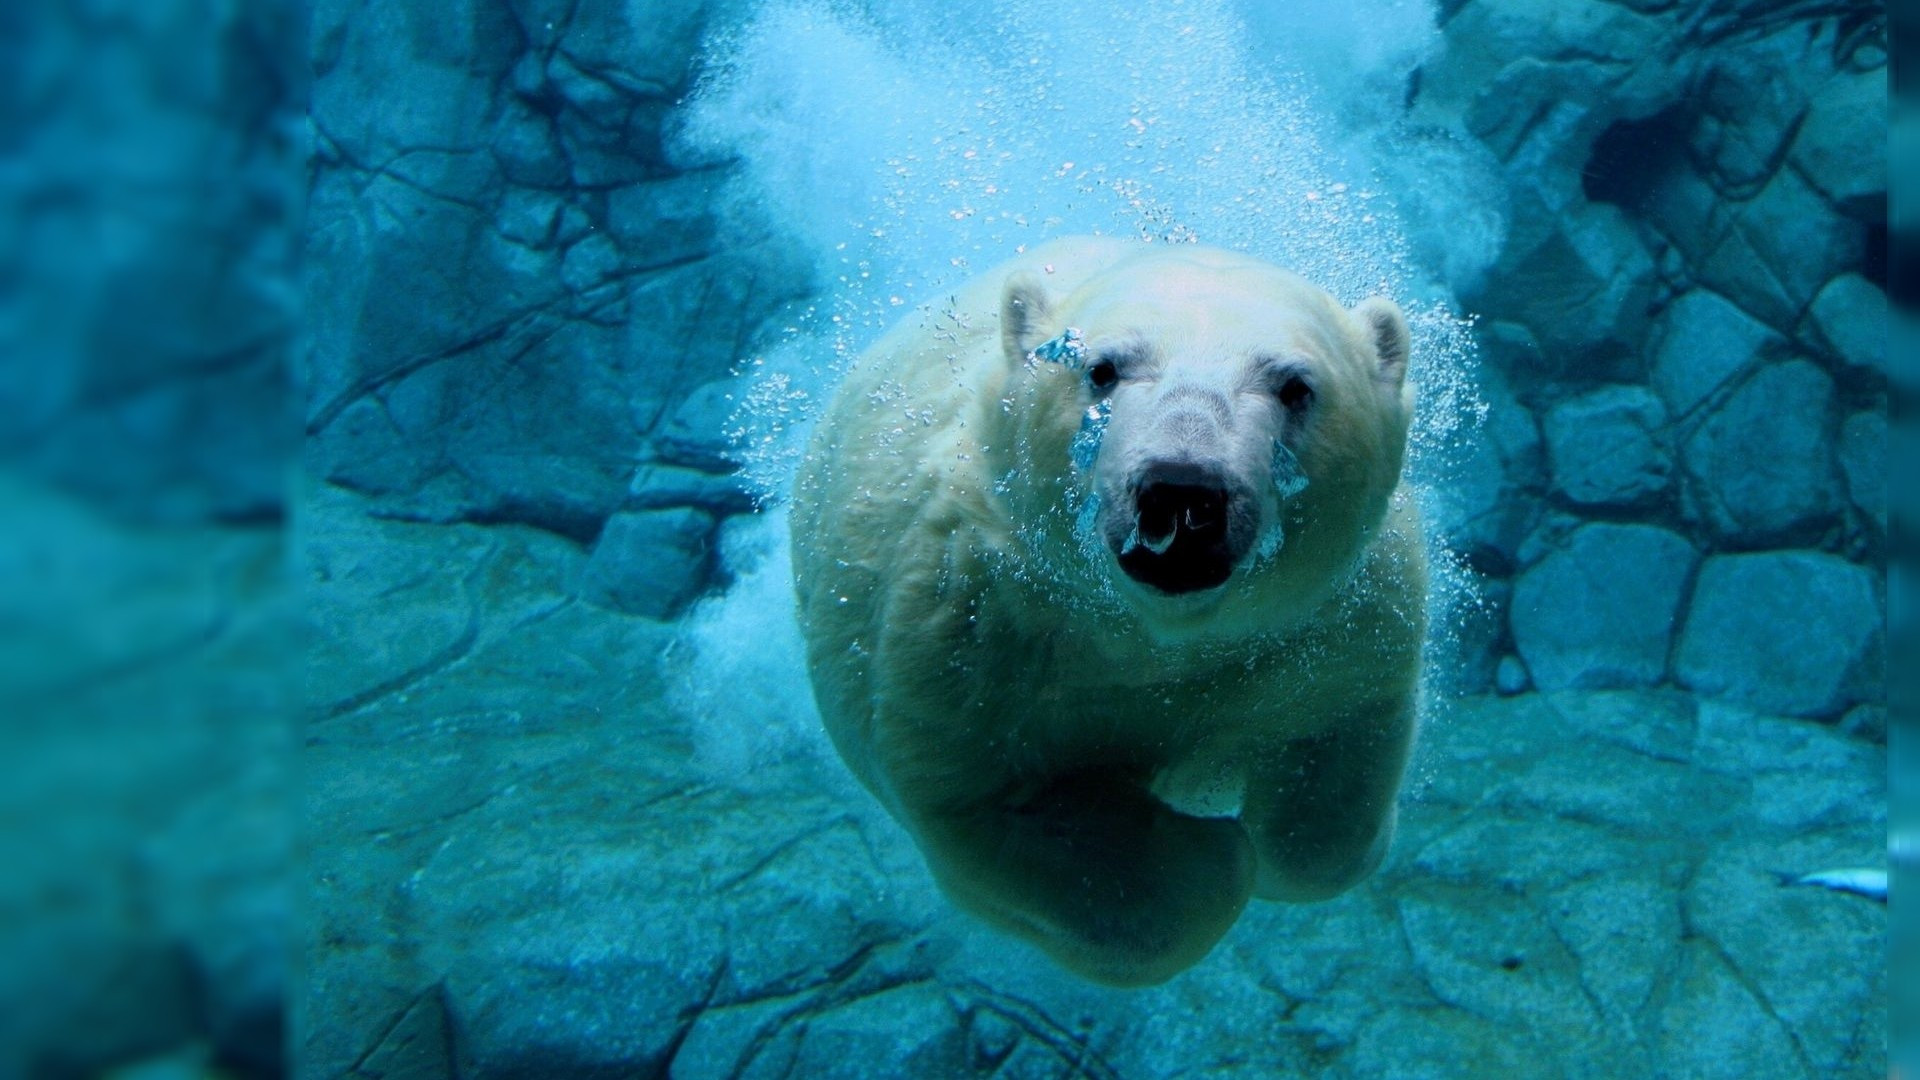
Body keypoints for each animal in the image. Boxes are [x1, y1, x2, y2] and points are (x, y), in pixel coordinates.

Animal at [783, 235, 1428, 983]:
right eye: (1101, 369)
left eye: (1296, 385)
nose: (1183, 491)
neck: (1152, 634)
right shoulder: (971, 627)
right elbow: (993, 806)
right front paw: (1210, 854)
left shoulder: (1332, 621)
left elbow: (1333, 772)